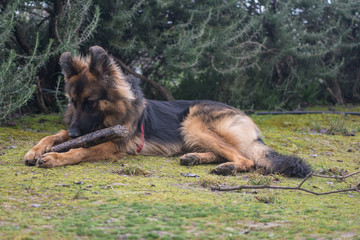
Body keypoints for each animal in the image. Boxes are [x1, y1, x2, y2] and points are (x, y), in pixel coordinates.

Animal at [23, 47, 310, 177]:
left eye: (91, 102)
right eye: (73, 101)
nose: (74, 132)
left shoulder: (112, 146)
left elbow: (81, 150)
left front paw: (56, 157)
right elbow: (53, 136)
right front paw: (35, 150)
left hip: (192, 122)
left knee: (246, 159)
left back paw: (227, 167)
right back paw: (195, 158)